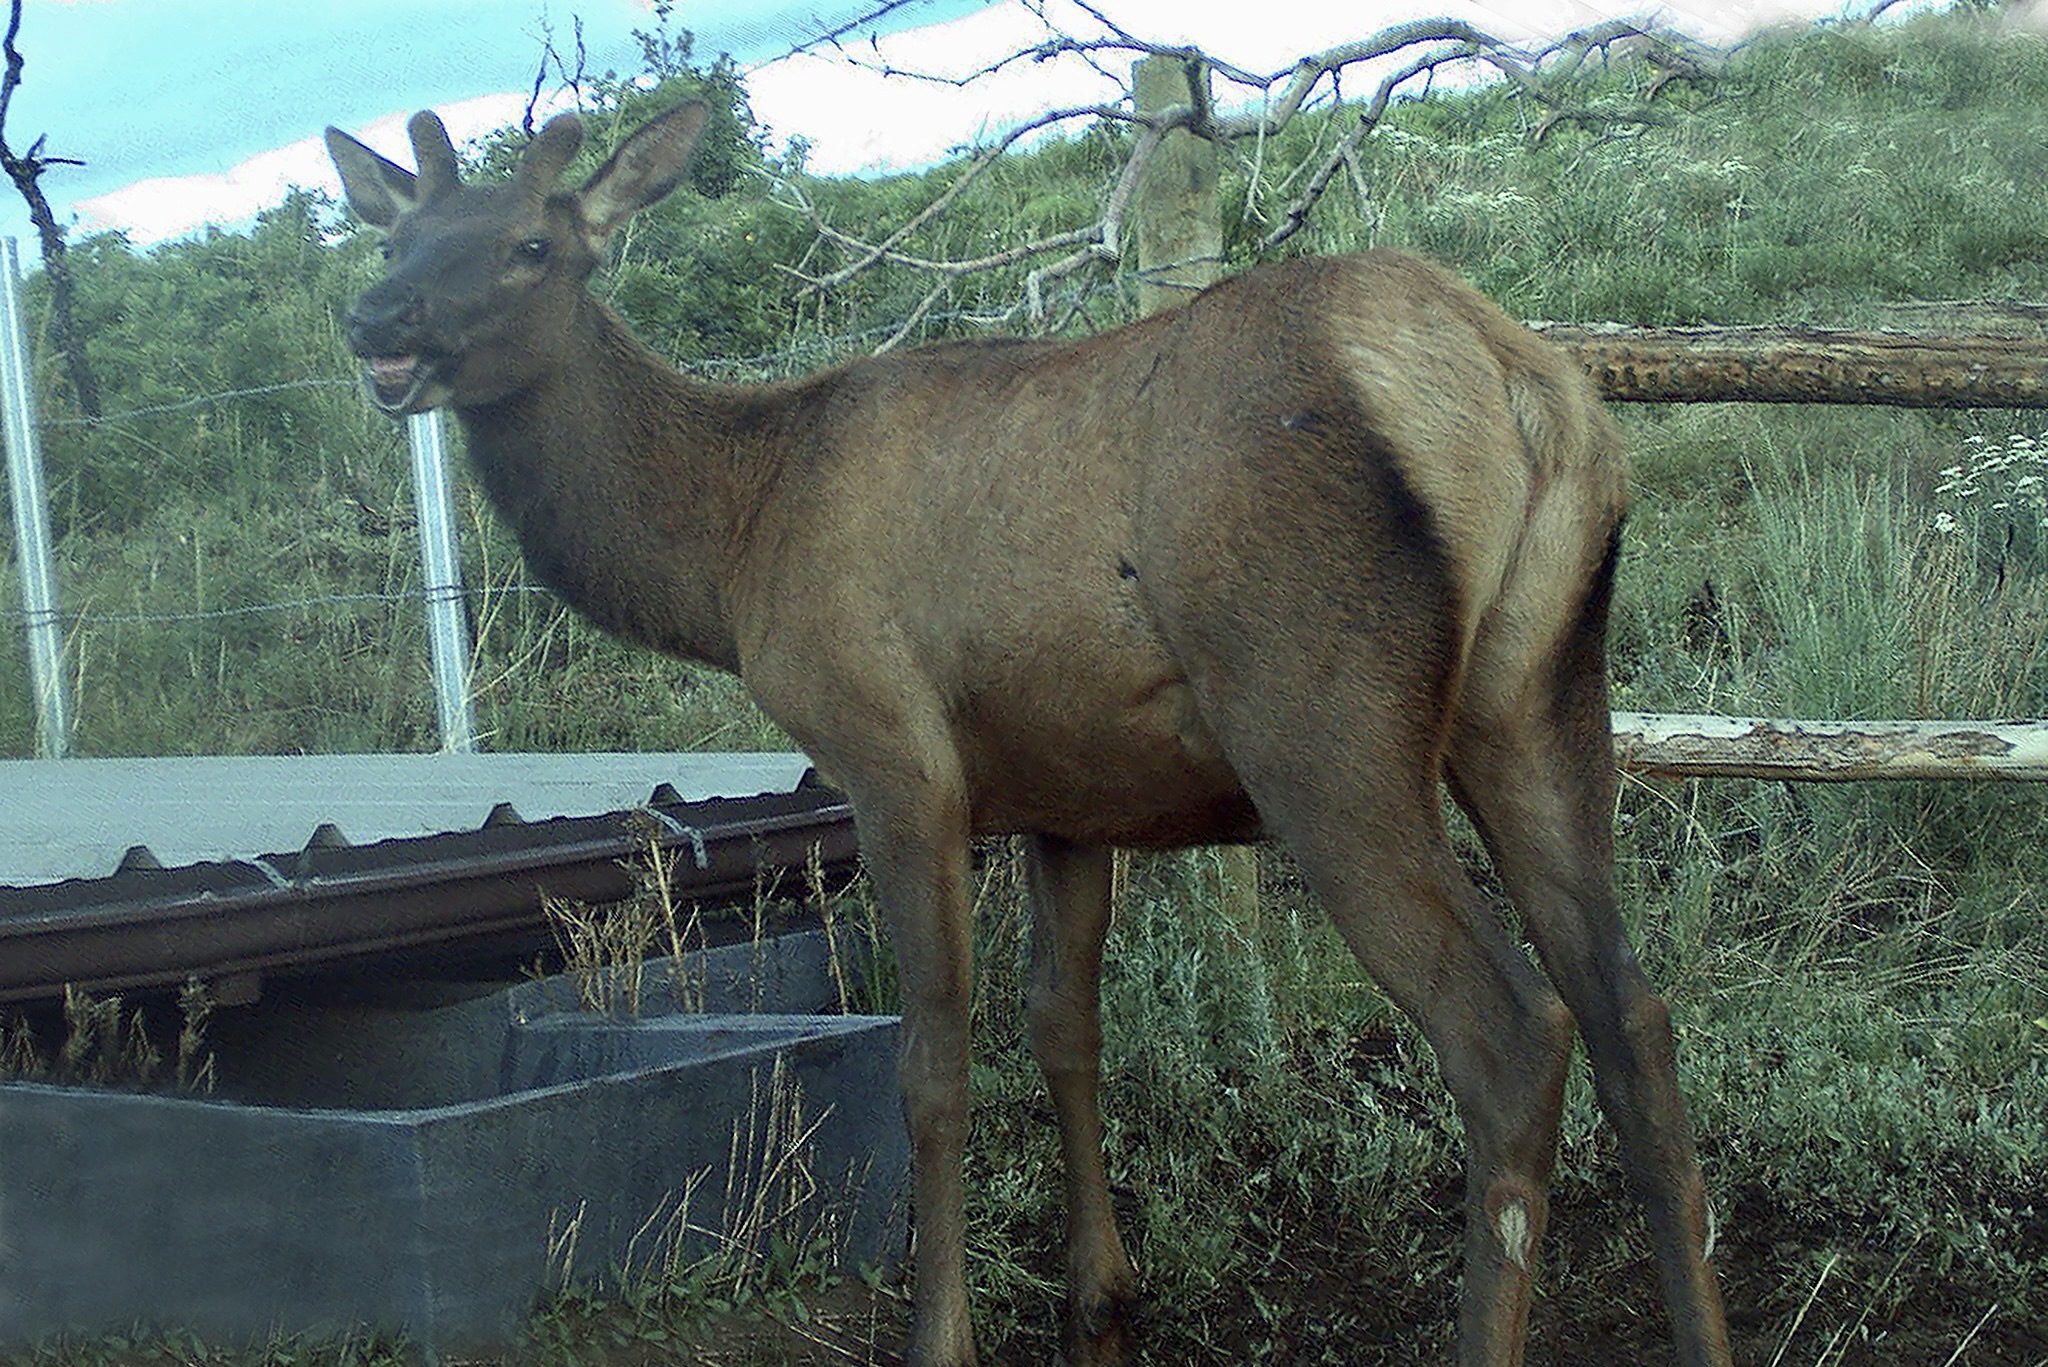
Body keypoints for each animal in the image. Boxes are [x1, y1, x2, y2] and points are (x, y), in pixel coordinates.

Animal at [327, 101, 1736, 1360]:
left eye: (529, 244)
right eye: (395, 237)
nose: (373, 318)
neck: (733, 553)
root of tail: (1516, 382)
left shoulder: (893, 758)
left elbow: (935, 1063)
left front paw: (940, 1331)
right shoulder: (1070, 791)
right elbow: (1066, 1029)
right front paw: (1099, 1296)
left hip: (1319, 718)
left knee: (1510, 1035)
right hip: (1536, 691)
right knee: (1632, 1014)